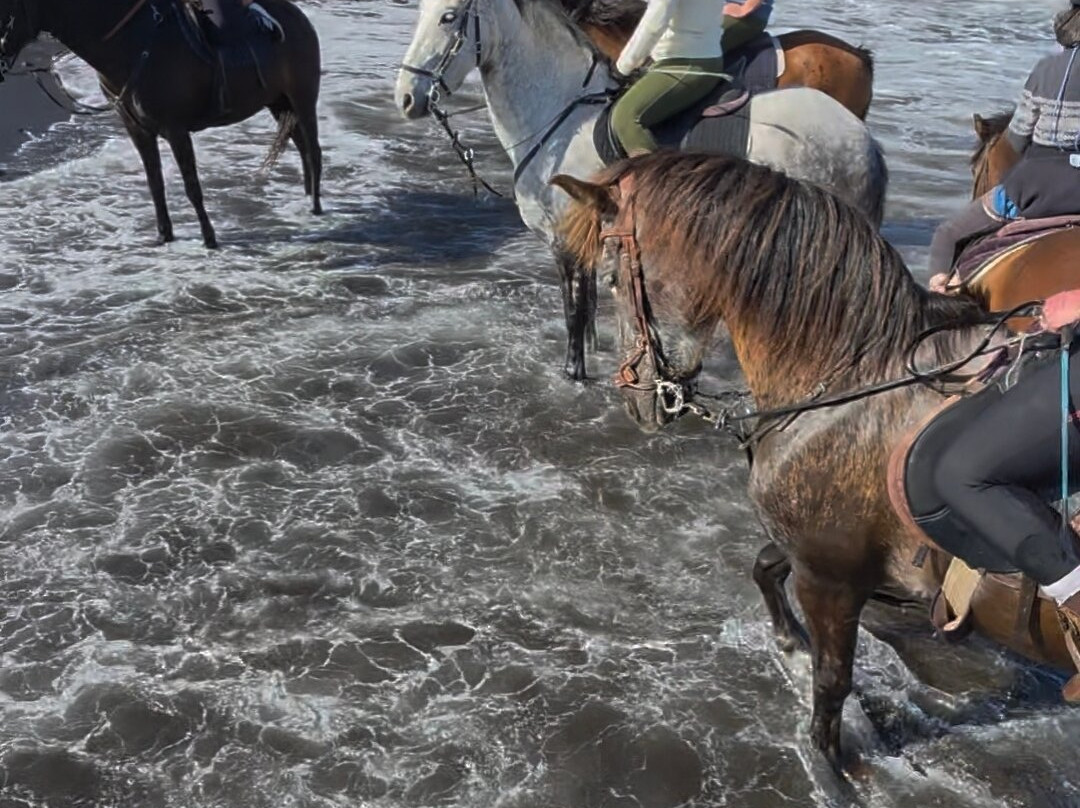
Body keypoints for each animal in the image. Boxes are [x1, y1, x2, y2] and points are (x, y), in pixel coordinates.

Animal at [0, 0, 322, 248]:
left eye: (7, 8)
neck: (130, 45)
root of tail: (298, 18)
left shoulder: (176, 130)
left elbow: (192, 186)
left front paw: (209, 239)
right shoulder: (138, 130)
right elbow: (155, 184)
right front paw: (164, 236)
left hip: (303, 99)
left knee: (314, 151)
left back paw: (316, 207)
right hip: (278, 103)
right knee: (302, 146)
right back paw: (307, 198)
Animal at [550, 151, 1078, 772]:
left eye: (611, 279)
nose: (637, 401)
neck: (857, 380)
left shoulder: (831, 577)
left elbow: (832, 682)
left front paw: (830, 764)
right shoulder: (820, 551)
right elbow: (764, 566)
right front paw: (789, 644)